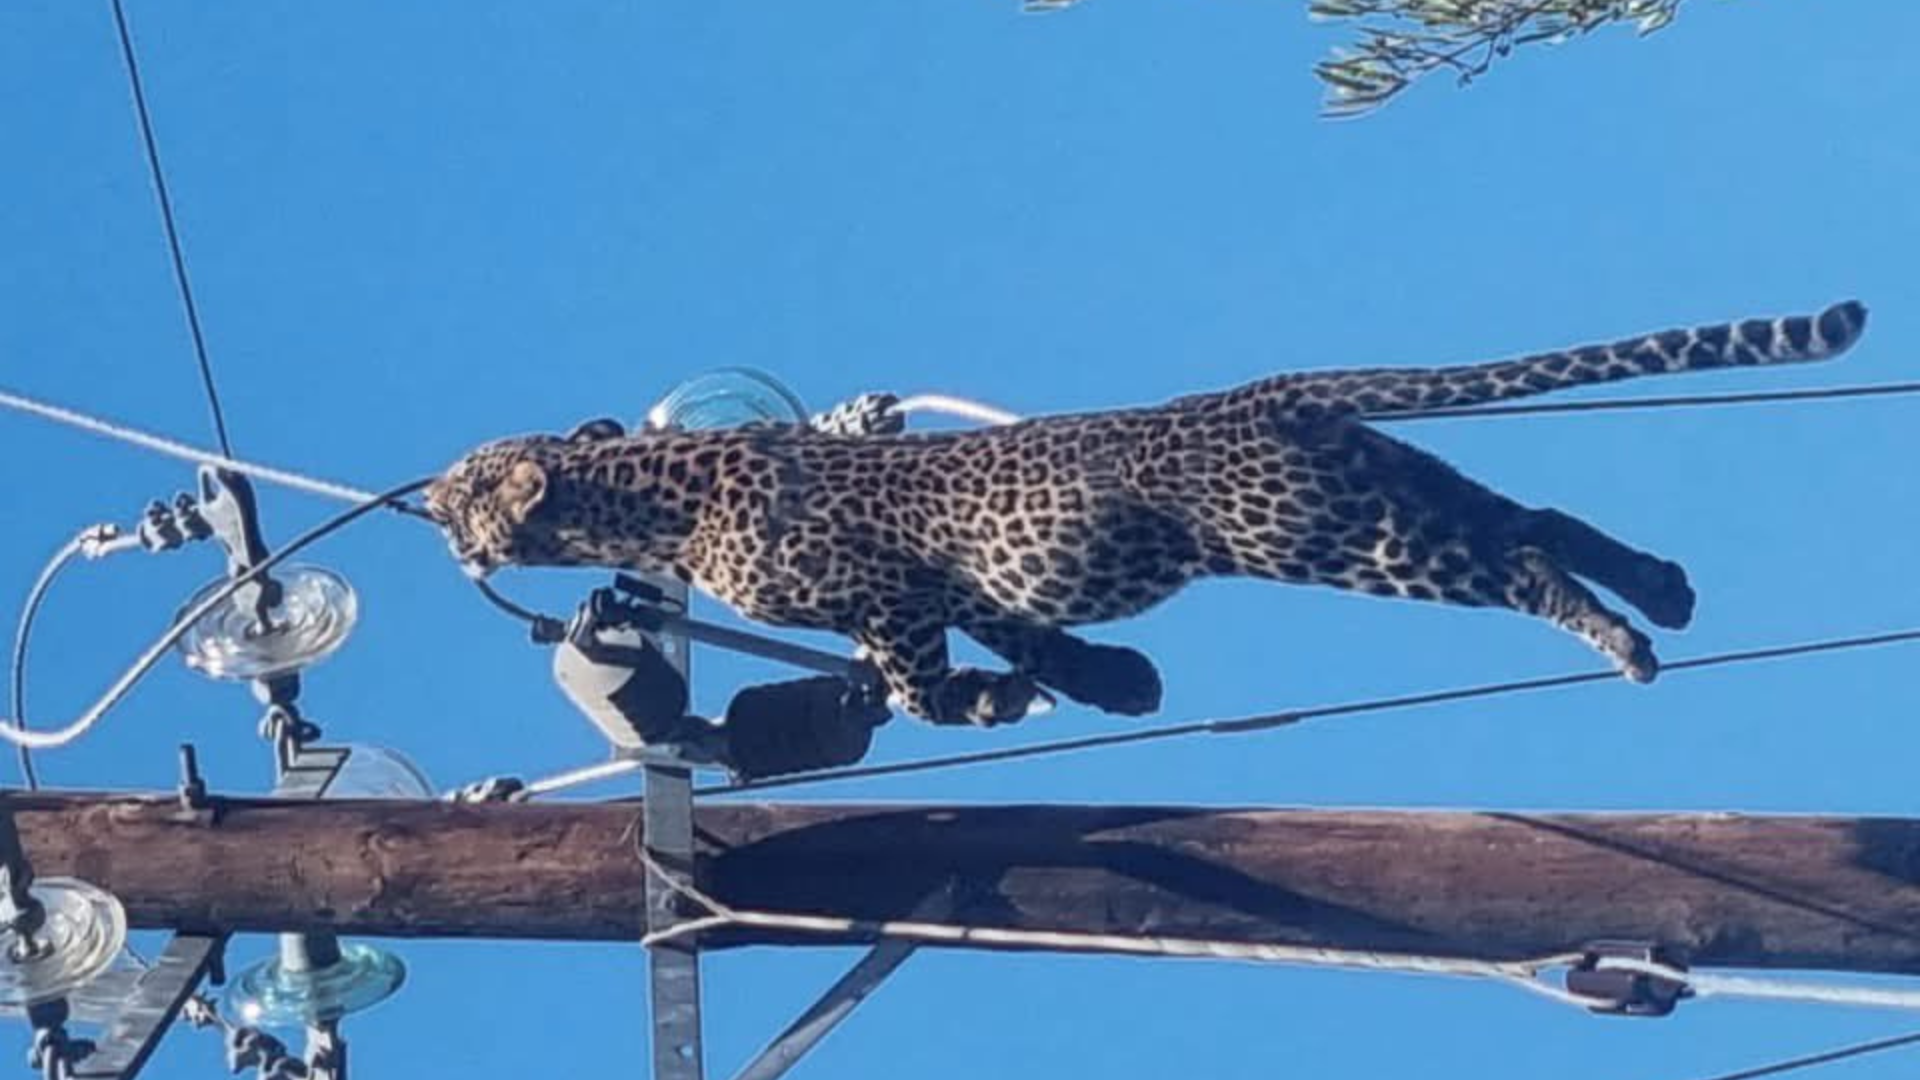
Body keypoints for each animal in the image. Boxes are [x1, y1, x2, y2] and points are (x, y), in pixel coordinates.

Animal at [425, 301, 1866, 726]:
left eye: (462, 488)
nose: (434, 512)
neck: (647, 500)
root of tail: (1267, 393)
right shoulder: (964, 589)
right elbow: (1024, 639)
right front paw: (1112, 685)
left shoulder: (889, 598)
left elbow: (916, 683)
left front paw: (985, 702)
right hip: (1385, 482)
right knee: (1542, 512)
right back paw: (1664, 588)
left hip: (1331, 532)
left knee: (1515, 554)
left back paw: (1625, 638)